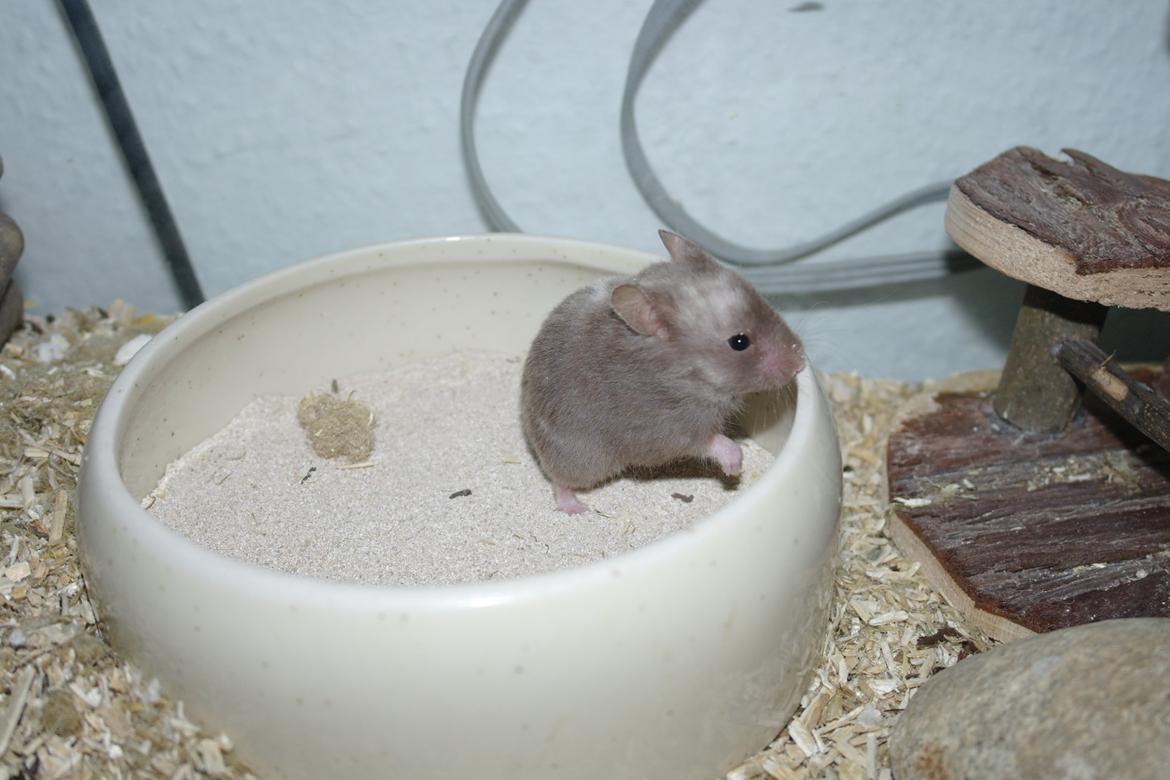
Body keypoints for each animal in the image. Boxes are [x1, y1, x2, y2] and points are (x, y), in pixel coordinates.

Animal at [520, 230, 806, 514]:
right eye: (739, 342)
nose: (801, 363)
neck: (687, 375)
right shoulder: (668, 431)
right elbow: (714, 442)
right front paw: (734, 469)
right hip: (582, 460)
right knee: (560, 480)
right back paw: (577, 508)